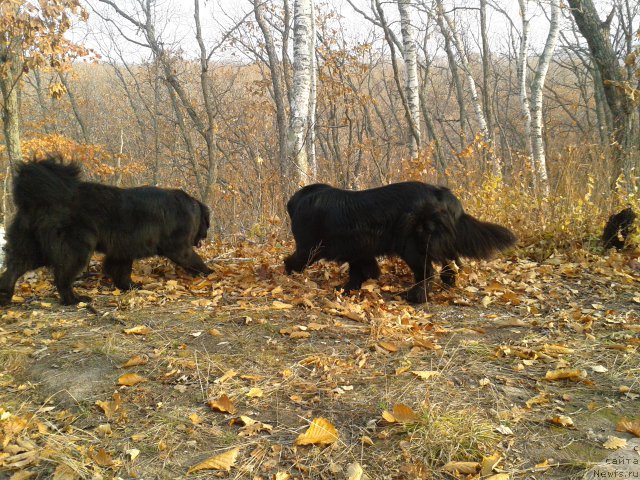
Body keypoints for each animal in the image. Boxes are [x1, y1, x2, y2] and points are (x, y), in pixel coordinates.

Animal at [0, 159, 212, 306]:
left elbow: (120, 270)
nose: (205, 236)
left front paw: (129, 286)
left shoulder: (123, 249)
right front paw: (210, 272)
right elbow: (195, 260)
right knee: (62, 277)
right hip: (77, 248)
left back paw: (5, 296)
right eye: (207, 225)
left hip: (32, 247)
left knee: (14, 268)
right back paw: (75, 299)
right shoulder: (179, 247)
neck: (191, 209)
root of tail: (37, 200)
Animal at [284, 182, 516, 302]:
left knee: (426, 271)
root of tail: (444, 195)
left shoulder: (308, 247)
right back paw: (447, 283)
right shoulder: (359, 249)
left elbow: (292, 260)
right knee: (449, 263)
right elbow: (360, 269)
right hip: (435, 241)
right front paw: (350, 288)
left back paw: (414, 296)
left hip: (411, 244)